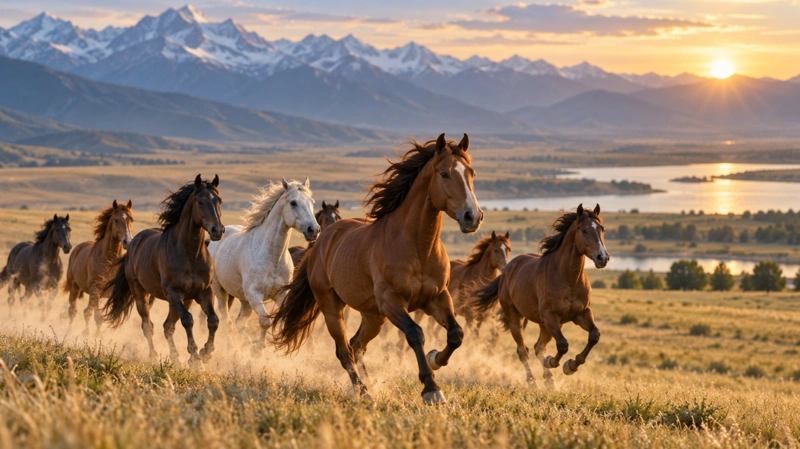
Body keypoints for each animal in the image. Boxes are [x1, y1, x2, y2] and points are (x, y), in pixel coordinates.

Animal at [63, 200, 133, 334]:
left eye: (131, 219)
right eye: (116, 220)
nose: (127, 242)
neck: (109, 261)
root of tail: (77, 248)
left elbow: (102, 317)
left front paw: (98, 335)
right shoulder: (95, 289)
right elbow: (92, 315)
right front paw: (88, 334)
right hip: (75, 287)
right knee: (73, 310)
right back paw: (69, 331)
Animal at [103, 175, 224, 367]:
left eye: (219, 201)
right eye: (200, 201)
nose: (217, 230)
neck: (190, 255)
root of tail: (134, 242)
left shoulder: (203, 292)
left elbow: (213, 320)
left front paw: (205, 352)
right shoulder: (173, 293)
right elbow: (187, 320)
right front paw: (195, 355)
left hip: (183, 299)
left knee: (168, 326)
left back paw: (175, 358)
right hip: (142, 295)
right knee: (148, 326)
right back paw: (154, 356)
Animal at [208, 178, 320, 355]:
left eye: (312, 202)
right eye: (293, 203)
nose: (313, 230)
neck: (272, 257)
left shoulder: (280, 294)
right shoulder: (255, 294)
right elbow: (265, 321)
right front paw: (258, 349)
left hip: (245, 300)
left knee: (240, 322)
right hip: (221, 291)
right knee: (227, 322)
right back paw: (231, 348)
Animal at [271, 133, 482, 405]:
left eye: (471, 173)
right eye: (444, 174)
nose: (472, 217)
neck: (417, 247)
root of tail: (322, 239)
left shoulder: (437, 297)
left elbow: (456, 334)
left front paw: (436, 359)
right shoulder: (391, 301)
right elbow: (415, 334)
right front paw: (431, 388)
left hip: (373, 315)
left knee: (356, 345)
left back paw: (367, 384)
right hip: (333, 308)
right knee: (344, 350)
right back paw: (363, 391)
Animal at [472, 204, 609, 389]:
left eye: (602, 229)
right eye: (584, 230)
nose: (603, 258)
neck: (568, 278)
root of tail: (507, 269)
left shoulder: (581, 313)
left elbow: (594, 335)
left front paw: (571, 365)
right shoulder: (551, 316)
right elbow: (563, 345)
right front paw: (555, 363)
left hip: (545, 325)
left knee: (538, 347)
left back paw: (550, 381)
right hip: (517, 319)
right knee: (523, 350)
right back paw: (533, 382)